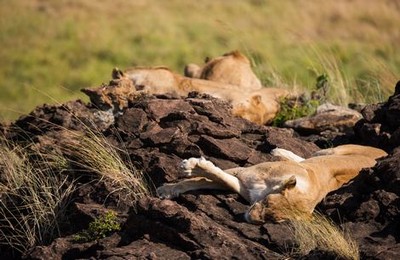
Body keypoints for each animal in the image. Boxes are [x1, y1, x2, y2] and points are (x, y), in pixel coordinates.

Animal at [157, 144, 388, 223]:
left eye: (272, 220)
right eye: (268, 204)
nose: (250, 219)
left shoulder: (244, 186)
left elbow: (216, 178)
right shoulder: (245, 173)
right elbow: (207, 176)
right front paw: (172, 184)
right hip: (336, 149)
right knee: (314, 154)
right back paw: (279, 151)